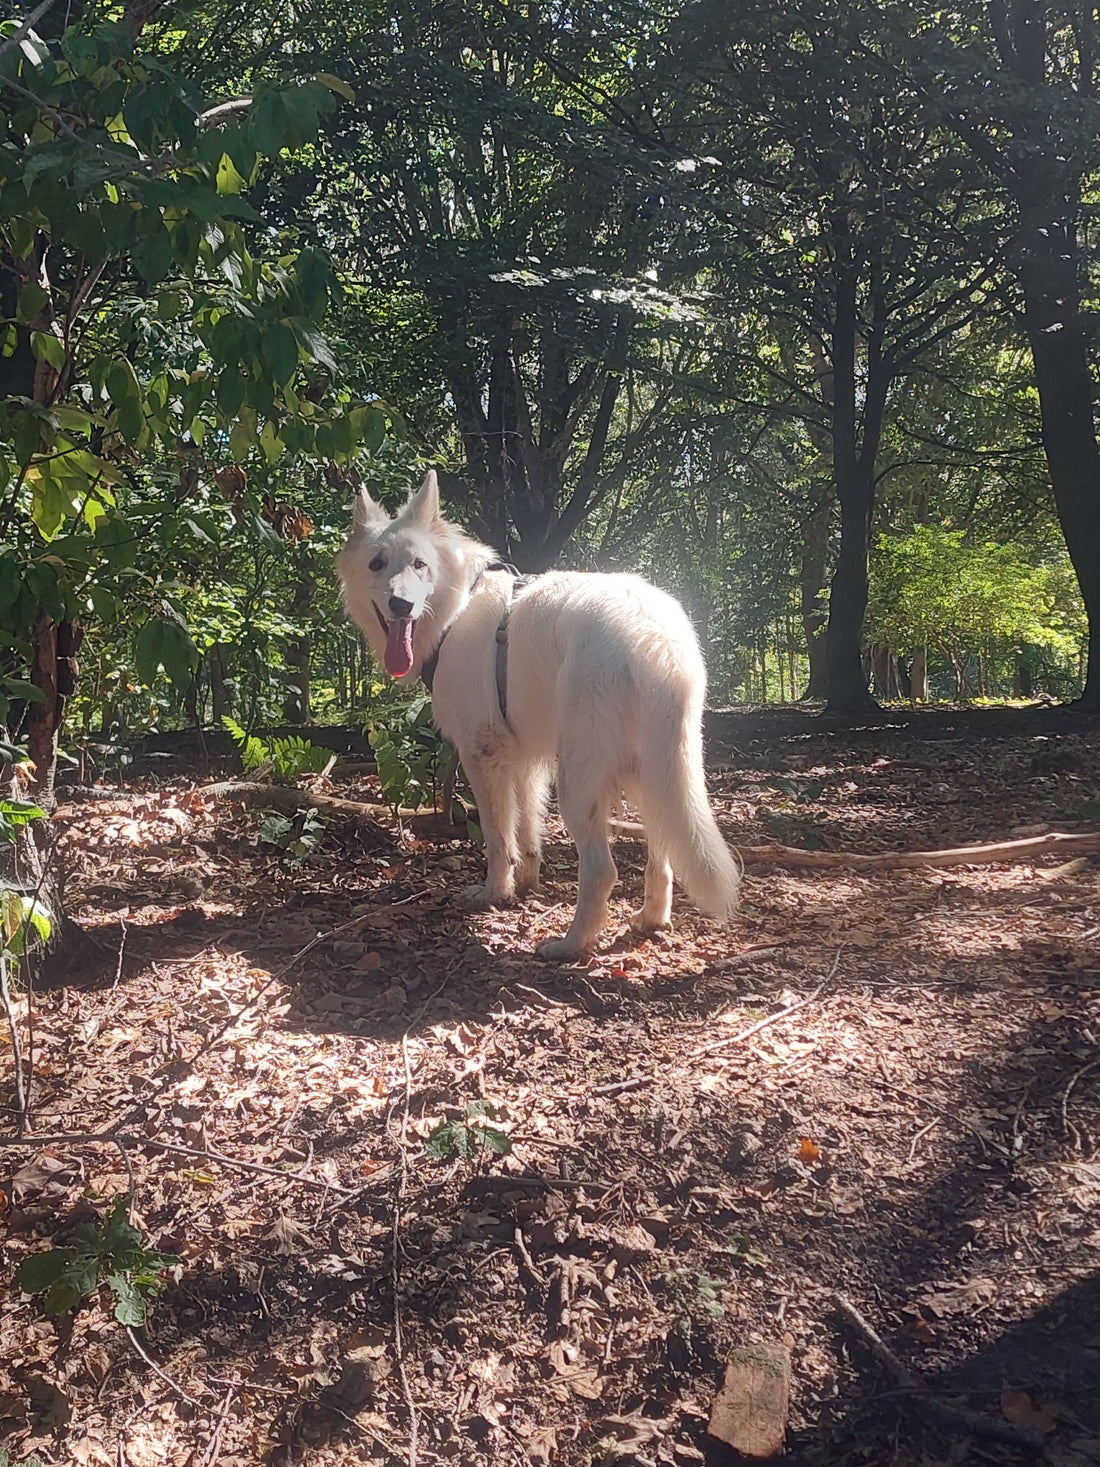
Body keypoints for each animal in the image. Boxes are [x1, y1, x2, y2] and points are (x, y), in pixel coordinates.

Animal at [340, 469, 745, 962]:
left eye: (419, 564)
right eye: (377, 564)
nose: (401, 606)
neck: (457, 605)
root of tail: (652, 635)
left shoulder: (483, 756)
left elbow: (498, 837)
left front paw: (495, 893)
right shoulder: (525, 759)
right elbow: (528, 831)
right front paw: (526, 885)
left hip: (581, 781)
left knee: (602, 871)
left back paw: (571, 945)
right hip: (651, 771)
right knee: (663, 855)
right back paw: (649, 920)